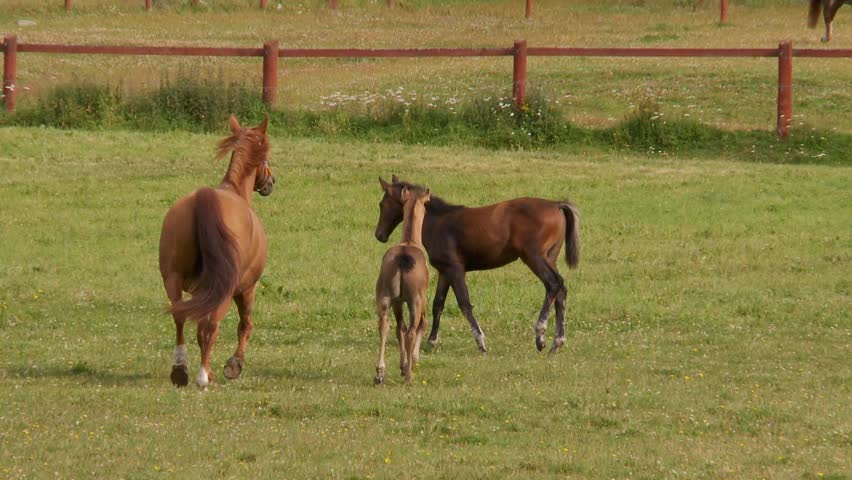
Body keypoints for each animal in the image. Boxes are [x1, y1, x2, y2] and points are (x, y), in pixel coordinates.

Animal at [159, 115, 276, 390]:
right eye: (267, 157)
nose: (271, 182)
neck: (234, 190)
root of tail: (205, 199)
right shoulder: (247, 289)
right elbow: (245, 324)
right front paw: (235, 364)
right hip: (226, 289)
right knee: (211, 326)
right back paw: (202, 376)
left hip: (174, 279)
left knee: (180, 317)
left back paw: (180, 369)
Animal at [374, 175, 579, 354]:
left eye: (382, 204)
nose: (379, 235)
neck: (438, 221)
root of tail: (556, 204)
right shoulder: (444, 271)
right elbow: (438, 303)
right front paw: (431, 341)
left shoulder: (455, 269)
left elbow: (464, 303)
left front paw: (481, 341)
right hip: (550, 258)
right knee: (561, 290)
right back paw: (557, 342)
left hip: (534, 257)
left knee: (553, 284)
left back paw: (540, 336)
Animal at [374, 186, 431, 385]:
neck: (409, 241)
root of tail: (402, 258)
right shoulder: (421, 299)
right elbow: (420, 325)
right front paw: (411, 362)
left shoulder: (397, 301)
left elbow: (400, 329)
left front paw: (402, 364)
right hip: (415, 301)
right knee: (413, 330)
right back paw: (409, 375)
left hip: (384, 297)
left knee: (385, 325)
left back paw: (379, 373)